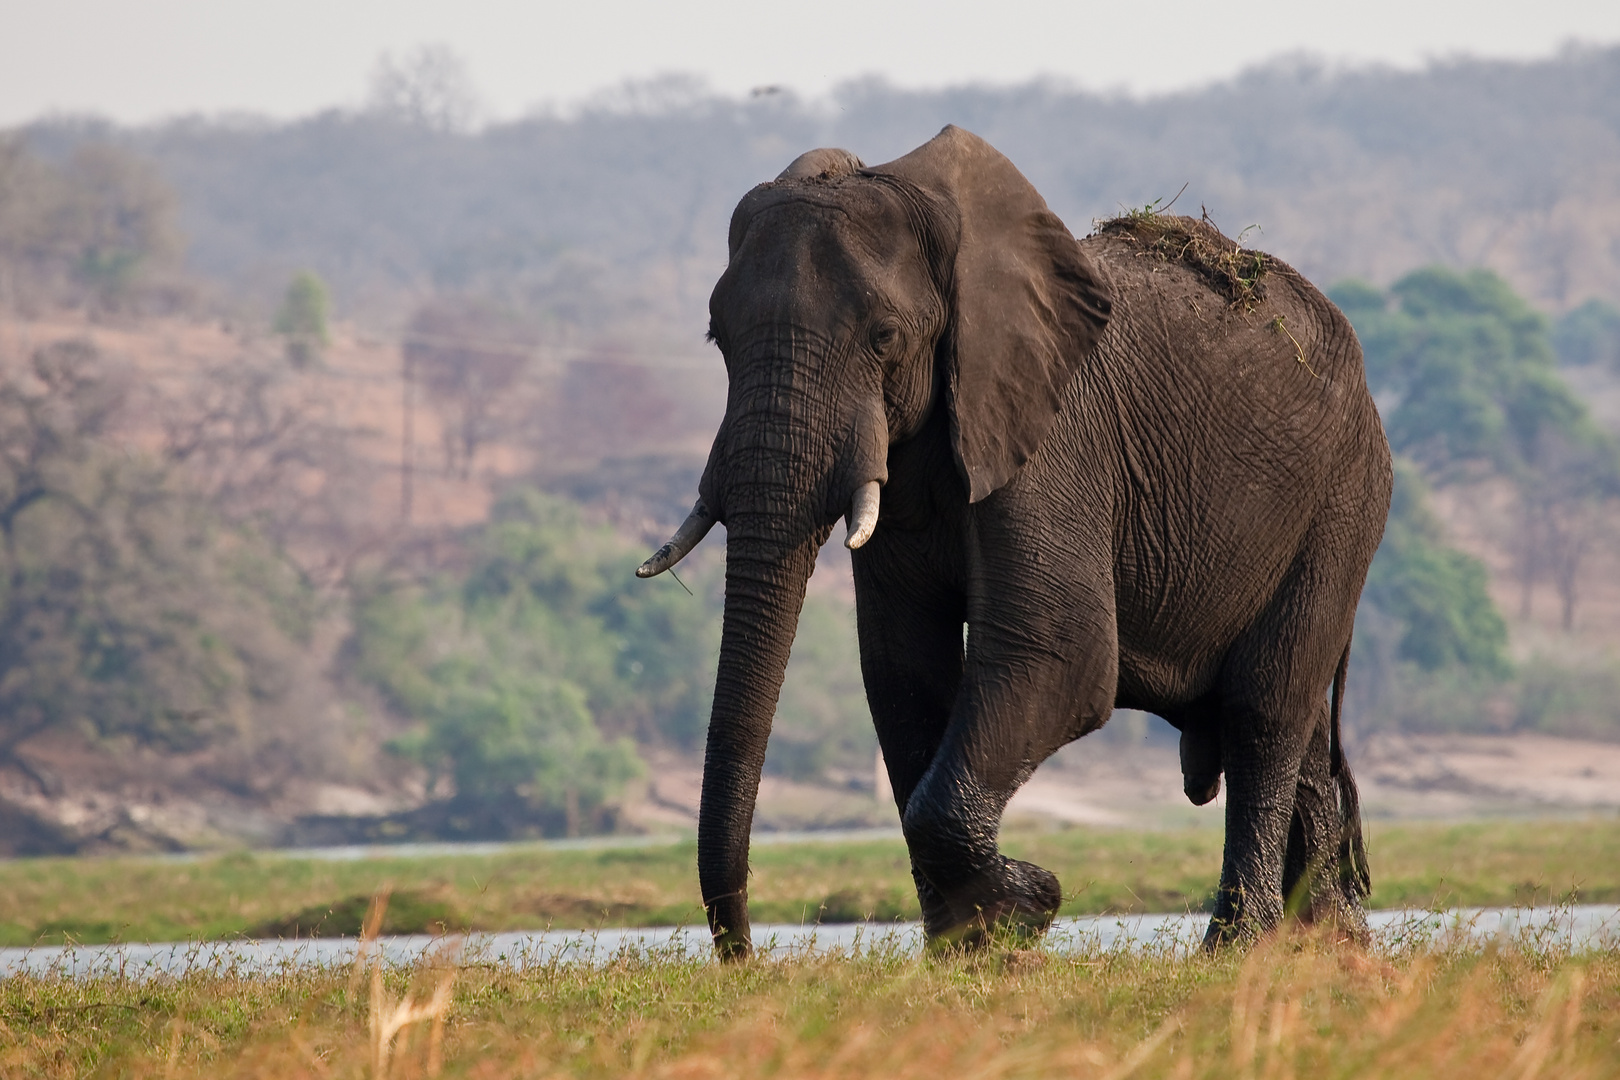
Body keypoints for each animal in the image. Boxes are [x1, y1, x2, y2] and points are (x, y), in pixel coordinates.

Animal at [635, 127, 1393, 965]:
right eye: (718, 339)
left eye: (884, 338)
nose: (745, 957)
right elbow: (903, 671)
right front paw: (970, 951)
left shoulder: (1057, 434)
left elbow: (1058, 652)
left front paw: (1031, 905)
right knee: (1294, 723)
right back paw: (1332, 944)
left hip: (1343, 500)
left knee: (1264, 708)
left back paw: (1240, 949)